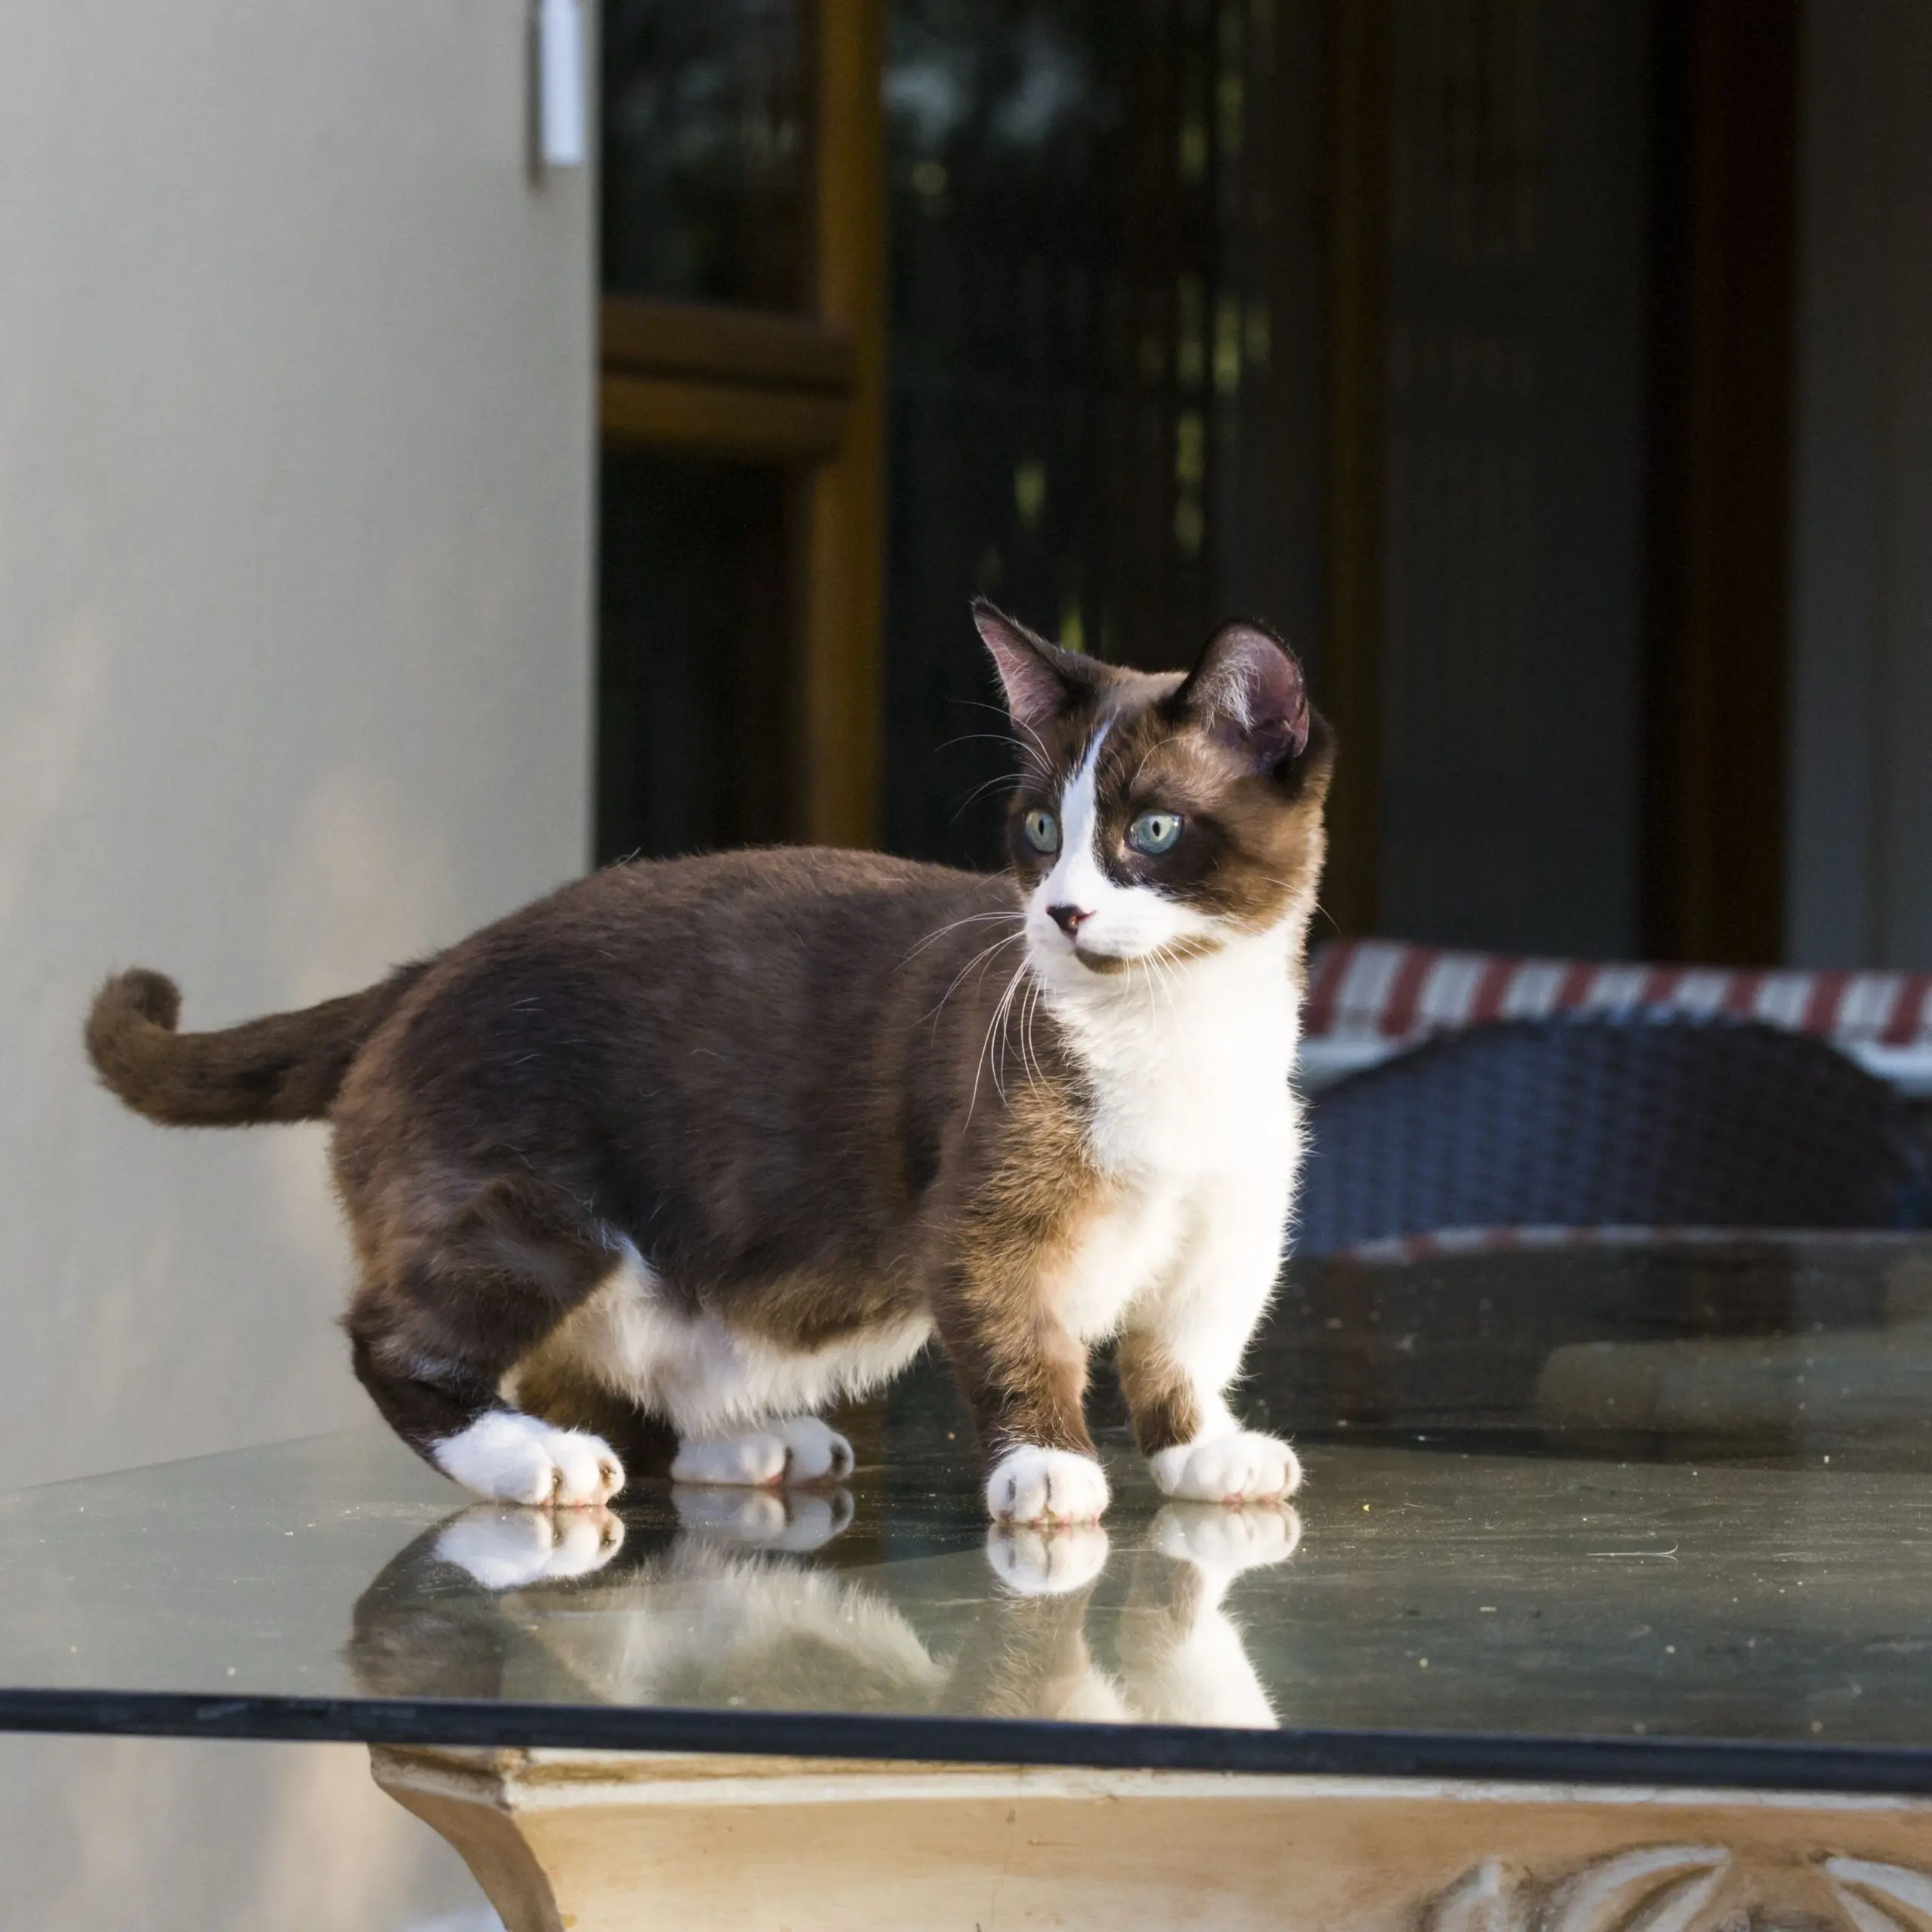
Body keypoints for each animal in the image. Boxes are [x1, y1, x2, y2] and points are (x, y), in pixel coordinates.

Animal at [87, 602, 1329, 1522]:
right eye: (1038, 832)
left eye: (1152, 832)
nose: (1063, 912)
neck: (1172, 1026)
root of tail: (433, 962)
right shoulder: (986, 1215)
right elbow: (1019, 1332)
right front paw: (1049, 1467)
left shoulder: (1232, 1226)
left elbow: (1185, 1351)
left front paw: (1203, 1453)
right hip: (526, 1207)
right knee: (405, 1342)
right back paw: (532, 1459)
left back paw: (741, 1443)